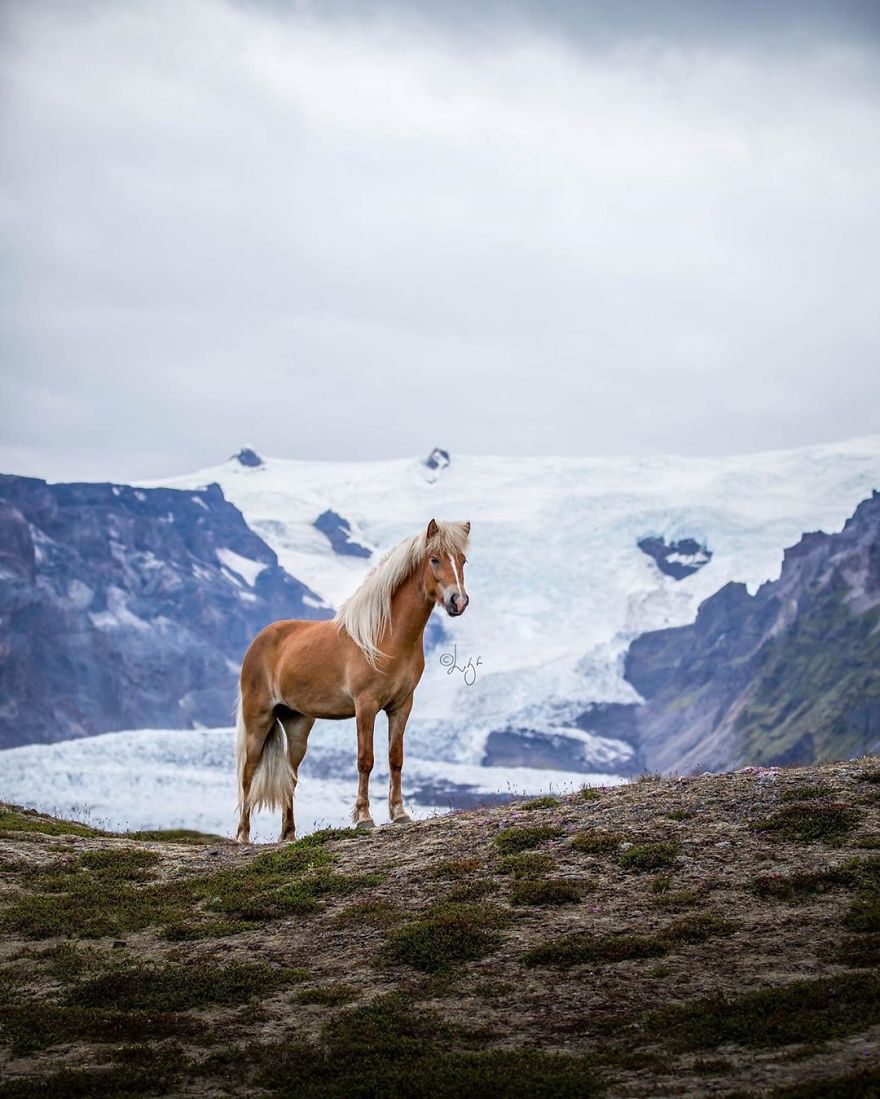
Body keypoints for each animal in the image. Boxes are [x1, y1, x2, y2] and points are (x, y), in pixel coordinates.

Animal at [235, 518, 470, 843]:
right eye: (434, 559)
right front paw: (364, 818)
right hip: (258, 719)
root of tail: (258, 641)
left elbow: (395, 757)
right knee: (248, 773)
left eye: (462, 560)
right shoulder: (366, 706)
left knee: (290, 775)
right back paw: (243, 837)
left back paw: (289, 835)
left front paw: (399, 814)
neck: (385, 636)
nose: (458, 601)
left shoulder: (401, 706)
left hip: (297, 724)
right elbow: (365, 760)